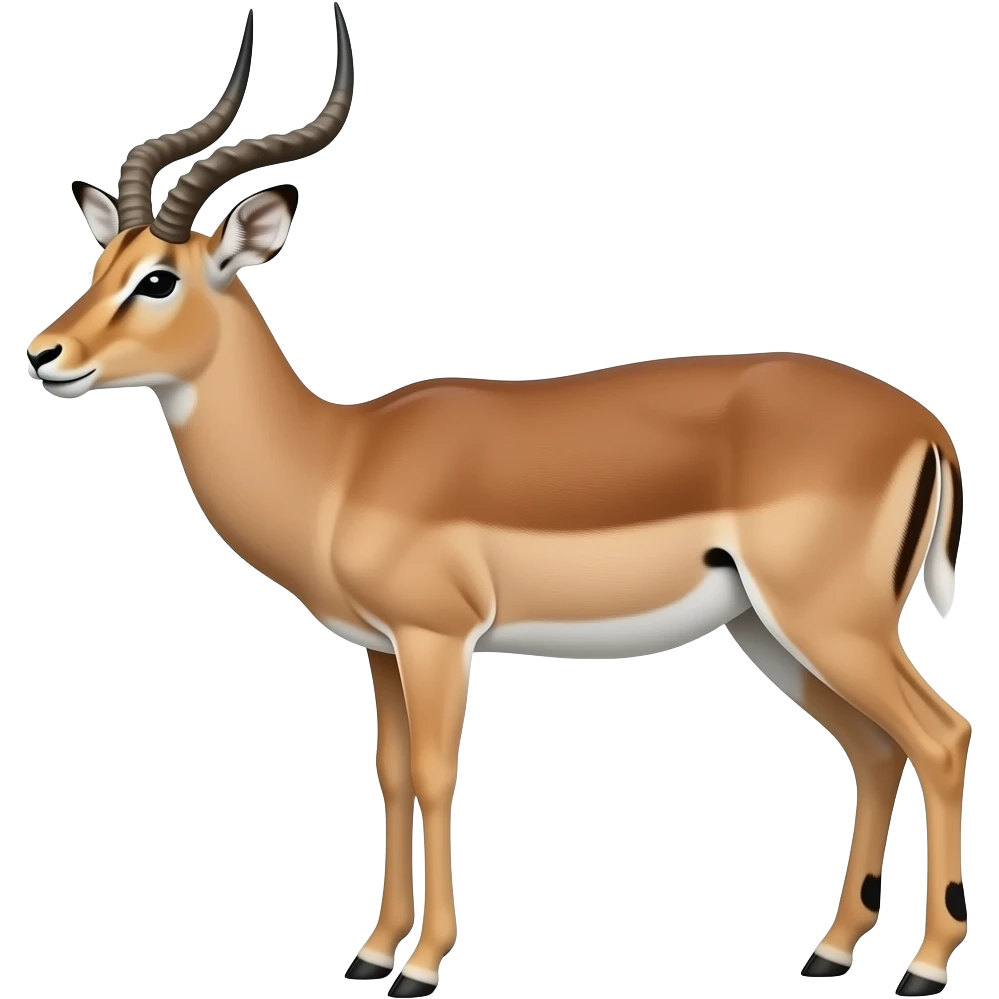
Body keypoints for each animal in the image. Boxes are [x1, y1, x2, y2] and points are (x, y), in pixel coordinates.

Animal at [24, 7, 970, 998]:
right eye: (100, 260)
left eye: (158, 278)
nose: (45, 353)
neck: (341, 462)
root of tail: (922, 423)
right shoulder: (381, 649)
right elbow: (390, 774)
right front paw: (370, 950)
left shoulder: (439, 638)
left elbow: (438, 775)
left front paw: (422, 962)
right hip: (770, 629)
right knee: (875, 748)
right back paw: (831, 950)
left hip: (831, 620)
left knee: (941, 735)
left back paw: (925, 964)